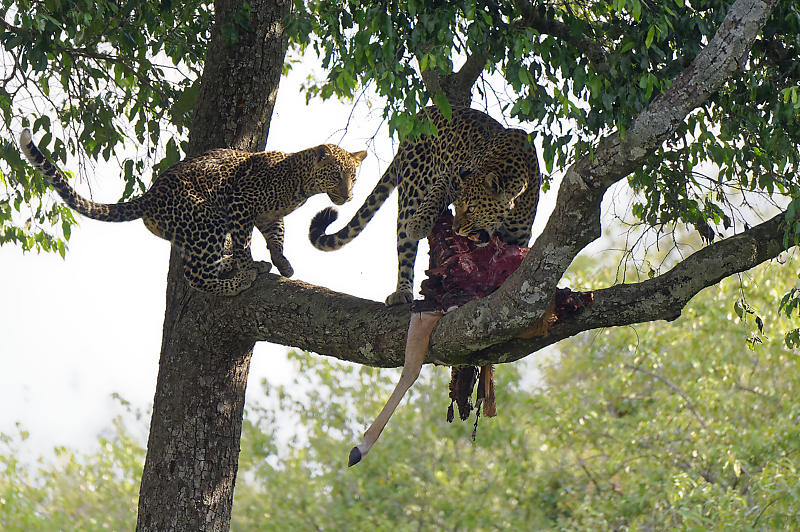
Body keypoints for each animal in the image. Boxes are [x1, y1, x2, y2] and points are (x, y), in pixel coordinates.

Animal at [20, 128, 368, 296]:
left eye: (354, 177)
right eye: (336, 175)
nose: (349, 195)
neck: (299, 184)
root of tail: (149, 196)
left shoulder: (270, 216)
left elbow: (277, 237)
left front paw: (282, 262)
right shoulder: (240, 204)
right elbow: (244, 242)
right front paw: (251, 263)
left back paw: (230, 265)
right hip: (207, 220)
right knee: (195, 276)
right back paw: (238, 280)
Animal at [310, 106, 540, 306]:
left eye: (472, 208)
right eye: (459, 206)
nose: (457, 229)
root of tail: (421, 113)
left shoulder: (518, 236)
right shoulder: (452, 175)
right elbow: (435, 195)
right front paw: (418, 225)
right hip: (412, 187)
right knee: (405, 245)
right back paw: (402, 290)